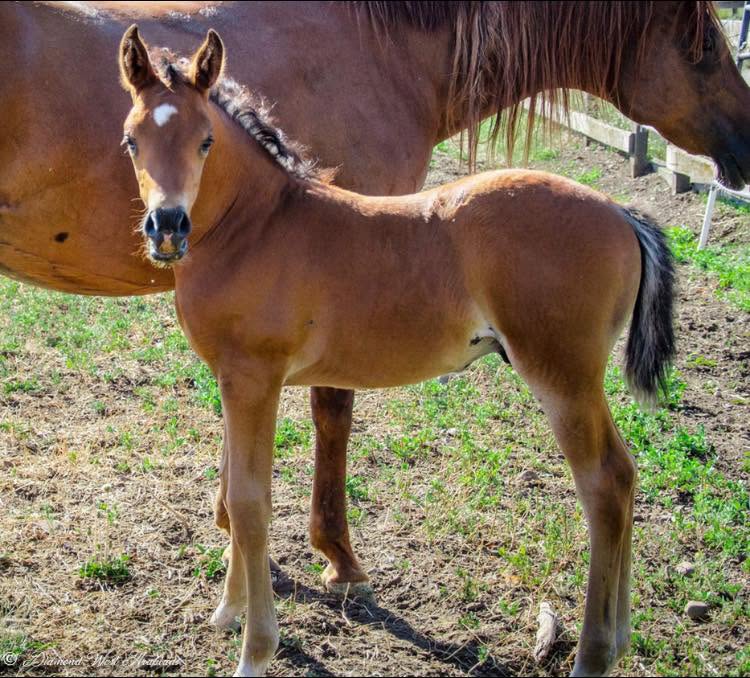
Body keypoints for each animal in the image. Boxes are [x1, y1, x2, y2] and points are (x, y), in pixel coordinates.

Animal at [116, 26, 675, 677]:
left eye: (205, 140)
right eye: (132, 140)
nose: (167, 227)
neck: (254, 227)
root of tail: (623, 213)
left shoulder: (255, 378)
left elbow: (251, 503)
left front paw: (256, 650)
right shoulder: (232, 380)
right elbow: (233, 488)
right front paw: (228, 612)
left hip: (563, 376)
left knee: (604, 484)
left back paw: (594, 652)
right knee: (626, 475)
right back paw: (621, 638)